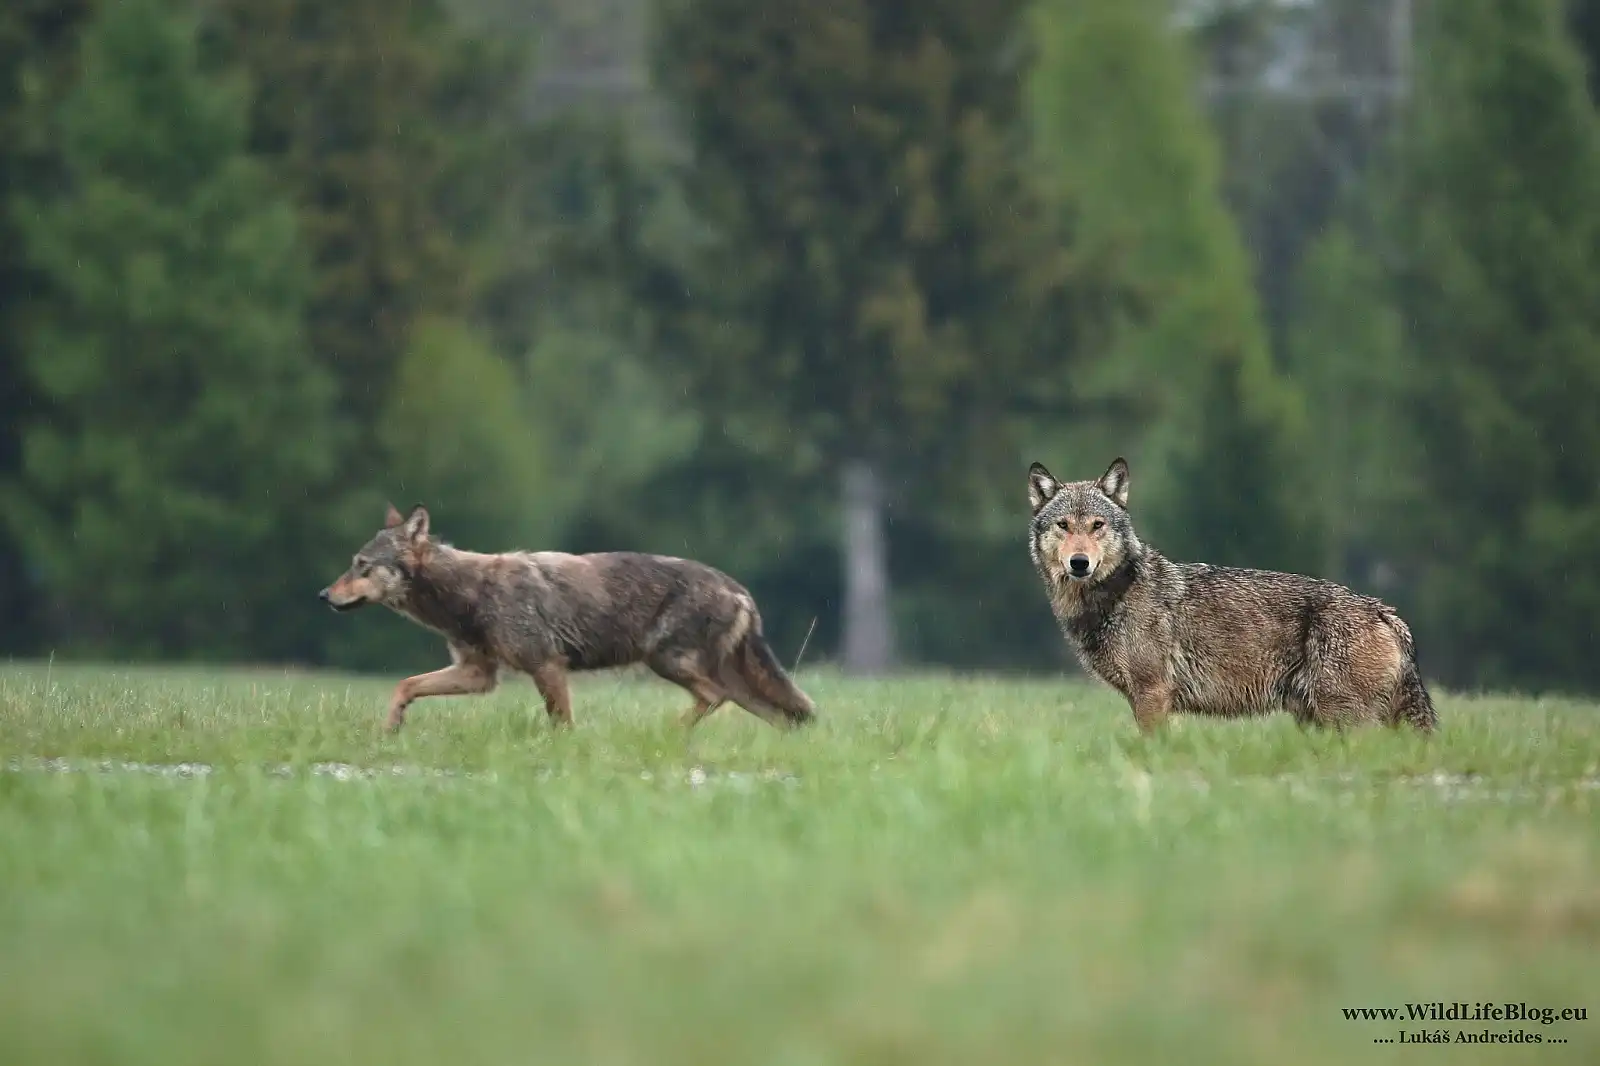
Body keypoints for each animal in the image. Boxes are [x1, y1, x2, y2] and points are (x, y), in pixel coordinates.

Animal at [318, 504, 816, 733]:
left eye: (362, 566)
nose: (323, 595)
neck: (466, 591)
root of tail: (739, 588)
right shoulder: (478, 675)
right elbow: (404, 685)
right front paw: (391, 727)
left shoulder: (546, 667)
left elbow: (562, 724)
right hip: (735, 685)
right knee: (785, 716)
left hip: (668, 663)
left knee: (715, 698)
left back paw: (665, 733)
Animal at [1026, 457, 1436, 734]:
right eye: (1064, 525)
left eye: (1097, 525)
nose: (1080, 563)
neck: (1117, 592)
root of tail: (1384, 611)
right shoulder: (1141, 697)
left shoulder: (1152, 694)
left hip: (1343, 718)